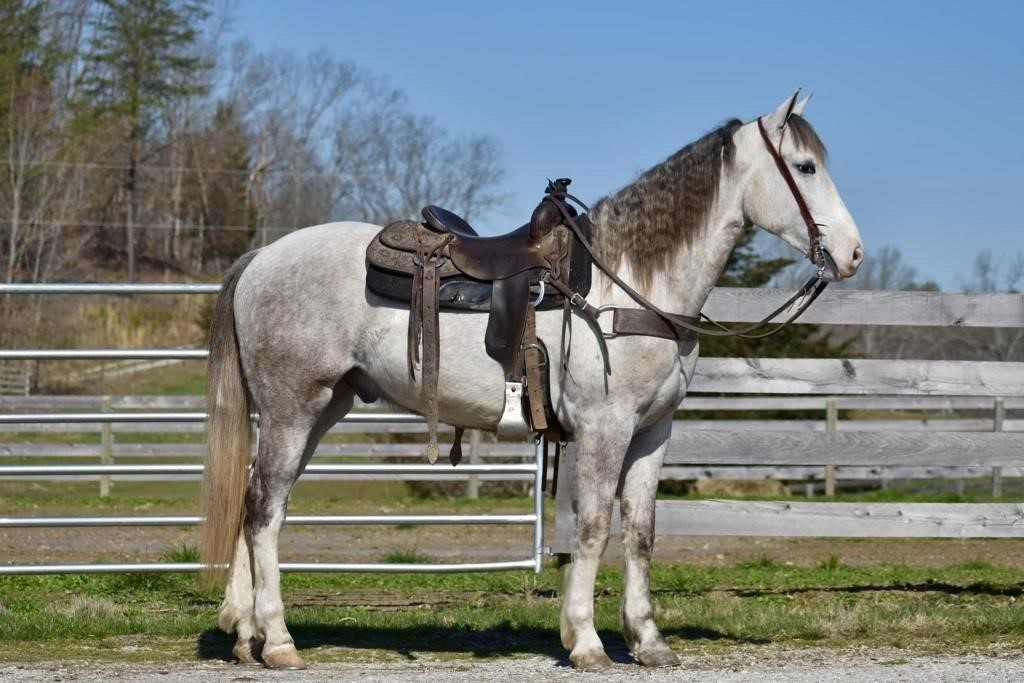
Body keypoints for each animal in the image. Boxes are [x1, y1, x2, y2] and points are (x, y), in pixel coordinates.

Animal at [199, 92, 864, 671]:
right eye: (804, 166)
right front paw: (587, 642)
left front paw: (648, 642)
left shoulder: (653, 432)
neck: (628, 283)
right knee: (265, 510)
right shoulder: (604, 428)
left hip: (317, 409)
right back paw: (279, 642)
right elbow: (594, 528)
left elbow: (641, 533)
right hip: (293, 409)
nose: (853, 253)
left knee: (258, 503)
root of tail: (259, 259)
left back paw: (246, 635)